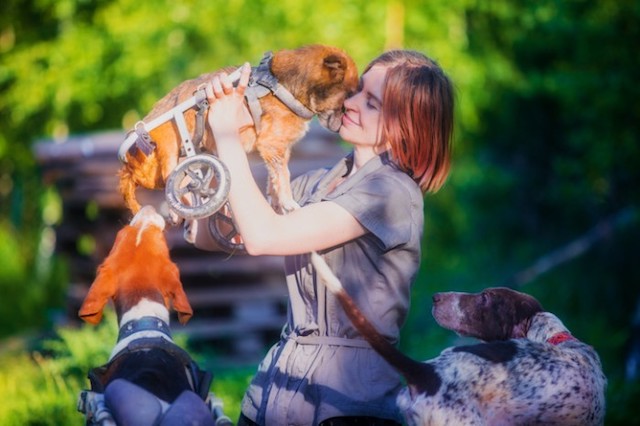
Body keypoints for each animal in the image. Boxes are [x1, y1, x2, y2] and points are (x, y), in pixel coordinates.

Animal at [117, 44, 358, 216]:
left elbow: (275, 179)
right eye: (348, 97)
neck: (282, 85)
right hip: (167, 151)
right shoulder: (272, 146)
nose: (343, 124)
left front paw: (276, 201)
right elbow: (284, 176)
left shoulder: (279, 150)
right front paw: (289, 202)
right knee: (160, 178)